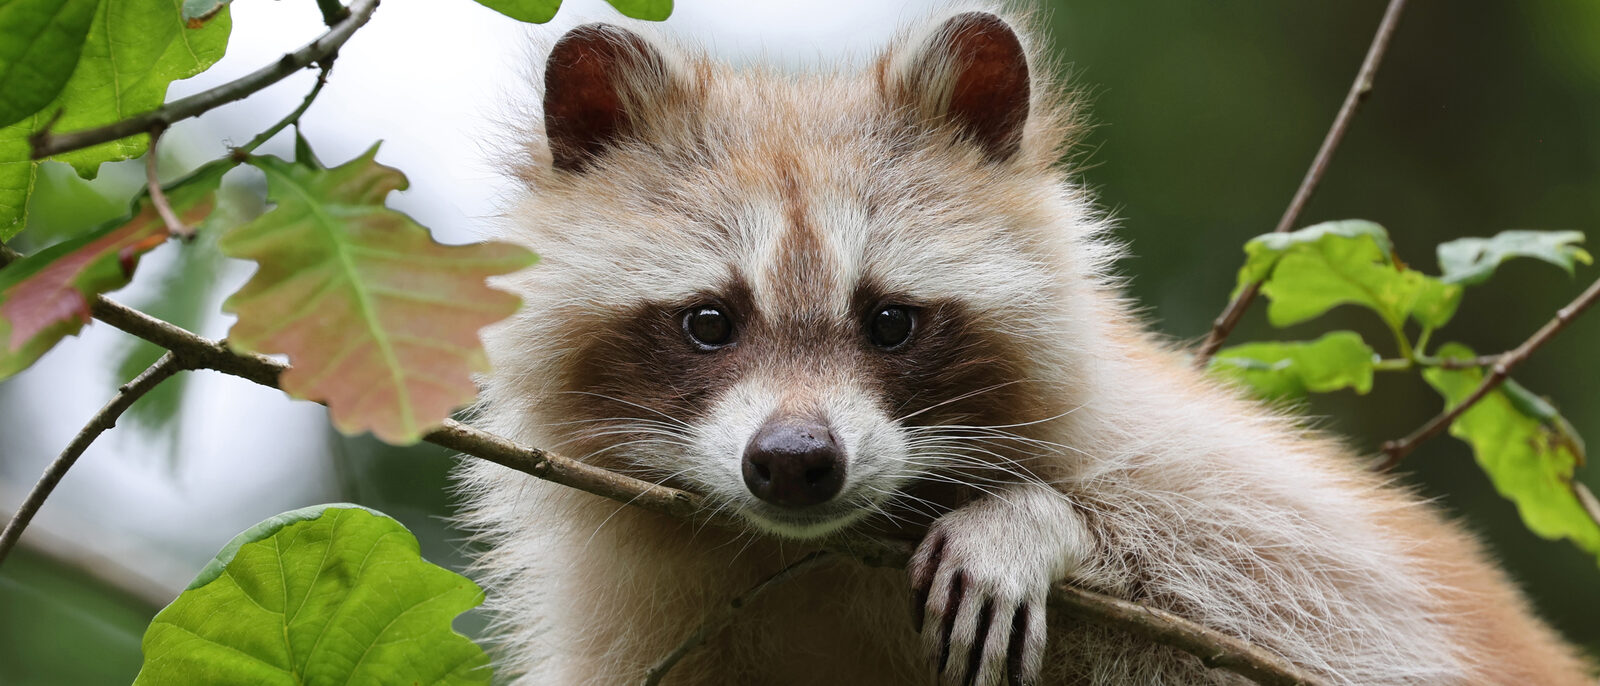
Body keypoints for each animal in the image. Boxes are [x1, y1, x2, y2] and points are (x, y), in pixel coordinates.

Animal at [455, 8, 1595, 685]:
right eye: (709, 321)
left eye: (889, 319)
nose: (795, 462)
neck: (816, 553)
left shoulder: (1271, 528)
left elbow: (1310, 612)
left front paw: (1037, 521)